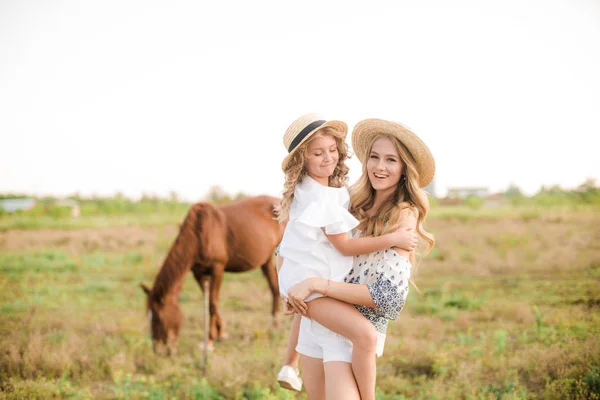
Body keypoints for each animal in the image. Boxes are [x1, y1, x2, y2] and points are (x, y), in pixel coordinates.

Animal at [139, 195, 284, 354]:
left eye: (158, 317)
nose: (158, 350)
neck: (199, 232)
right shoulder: (198, 273)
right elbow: (209, 301)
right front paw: (221, 334)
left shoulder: (217, 268)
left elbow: (213, 303)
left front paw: (209, 340)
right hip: (267, 259)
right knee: (274, 288)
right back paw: (274, 324)